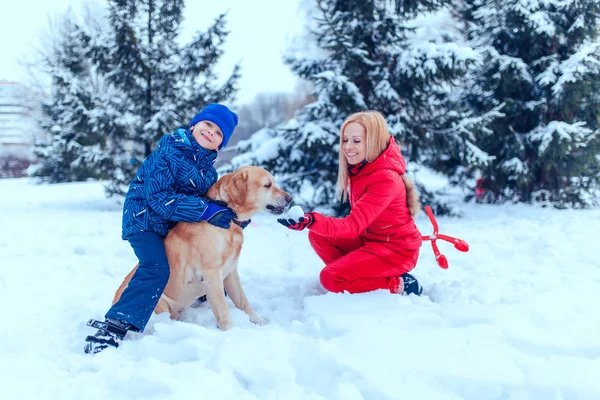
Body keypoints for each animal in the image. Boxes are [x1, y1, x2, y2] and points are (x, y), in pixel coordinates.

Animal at [112, 166, 292, 332]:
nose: (290, 199)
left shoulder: (231, 272)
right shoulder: (211, 275)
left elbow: (243, 301)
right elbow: (223, 312)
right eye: (267, 185)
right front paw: (232, 333)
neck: (229, 218)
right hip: (159, 302)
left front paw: (258, 321)